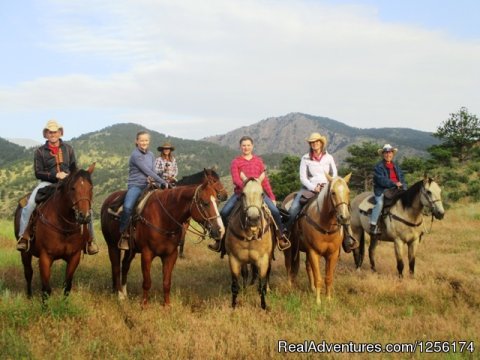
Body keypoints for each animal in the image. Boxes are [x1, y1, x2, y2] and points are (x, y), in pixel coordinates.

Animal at [13, 162, 96, 300]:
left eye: (91, 188)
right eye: (73, 188)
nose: (84, 216)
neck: (65, 227)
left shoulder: (74, 257)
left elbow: (67, 286)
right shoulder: (45, 257)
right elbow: (46, 290)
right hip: (25, 252)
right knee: (28, 273)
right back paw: (29, 296)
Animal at [100, 169, 228, 306]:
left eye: (217, 202)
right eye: (205, 203)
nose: (220, 230)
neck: (164, 217)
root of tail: (108, 200)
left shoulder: (170, 255)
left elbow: (166, 282)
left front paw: (167, 305)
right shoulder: (147, 254)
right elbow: (147, 282)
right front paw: (144, 305)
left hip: (131, 250)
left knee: (124, 266)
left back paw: (124, 294)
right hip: (112, 246)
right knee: (116, 267)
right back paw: (119, 295)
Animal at [225, 174, 274, 310]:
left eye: (262, 194)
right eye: (243, 194)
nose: (253, 219)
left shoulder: (263, 259)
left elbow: (261, 285)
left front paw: (263, 306)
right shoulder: (234, 259)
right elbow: (235, 285)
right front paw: (233, 306)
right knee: (246, 274)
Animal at [282, 174, 352, 304]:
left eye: (348, 192)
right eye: (333, 192)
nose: (344, 217)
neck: (326, 227)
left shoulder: (332, 254)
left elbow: (328, 277)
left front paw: (328, 299)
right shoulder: (314, 252)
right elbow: (318, 278)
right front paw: (318, 301)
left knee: (307, 267)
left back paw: (312, 288)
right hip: (289, 248)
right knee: (288, 265)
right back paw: (289, 285)